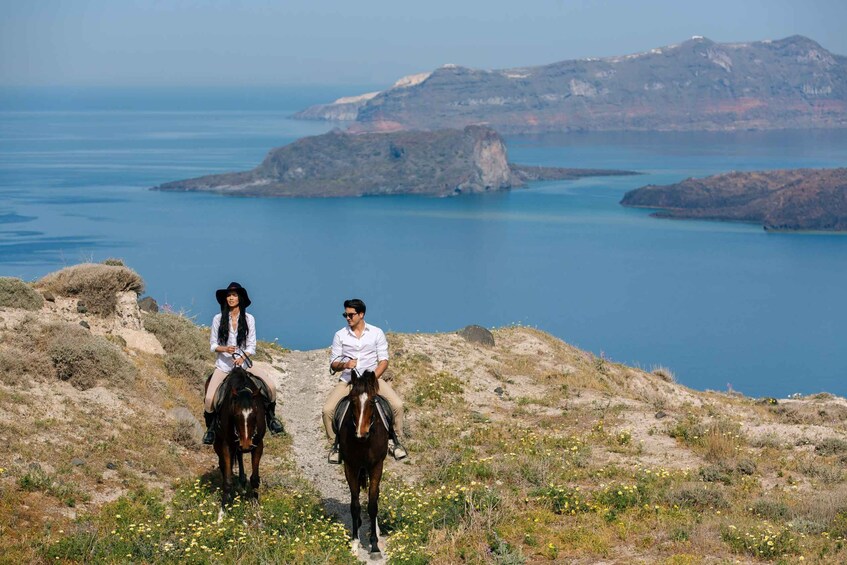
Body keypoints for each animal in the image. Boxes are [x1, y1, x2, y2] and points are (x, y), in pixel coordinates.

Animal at [205, 366, 264, 512]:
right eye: (236, 415)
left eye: (255, 415)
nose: (246, 445)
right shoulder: (226, 445)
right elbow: (227, 480)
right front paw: (223, 510)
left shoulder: (258, 445)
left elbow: (255, 478)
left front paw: (256, 506)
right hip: (219, 442)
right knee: (224, 465)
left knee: (239, 457)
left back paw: (242, 484)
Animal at [338, 368, 390, 552]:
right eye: (352, 400)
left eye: (372, 401)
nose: (361, 433)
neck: (364, 442)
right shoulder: (350, 466)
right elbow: (355, 505)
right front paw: (355, 542)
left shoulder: (376, 465)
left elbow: (372, 504)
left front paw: (374, 544)